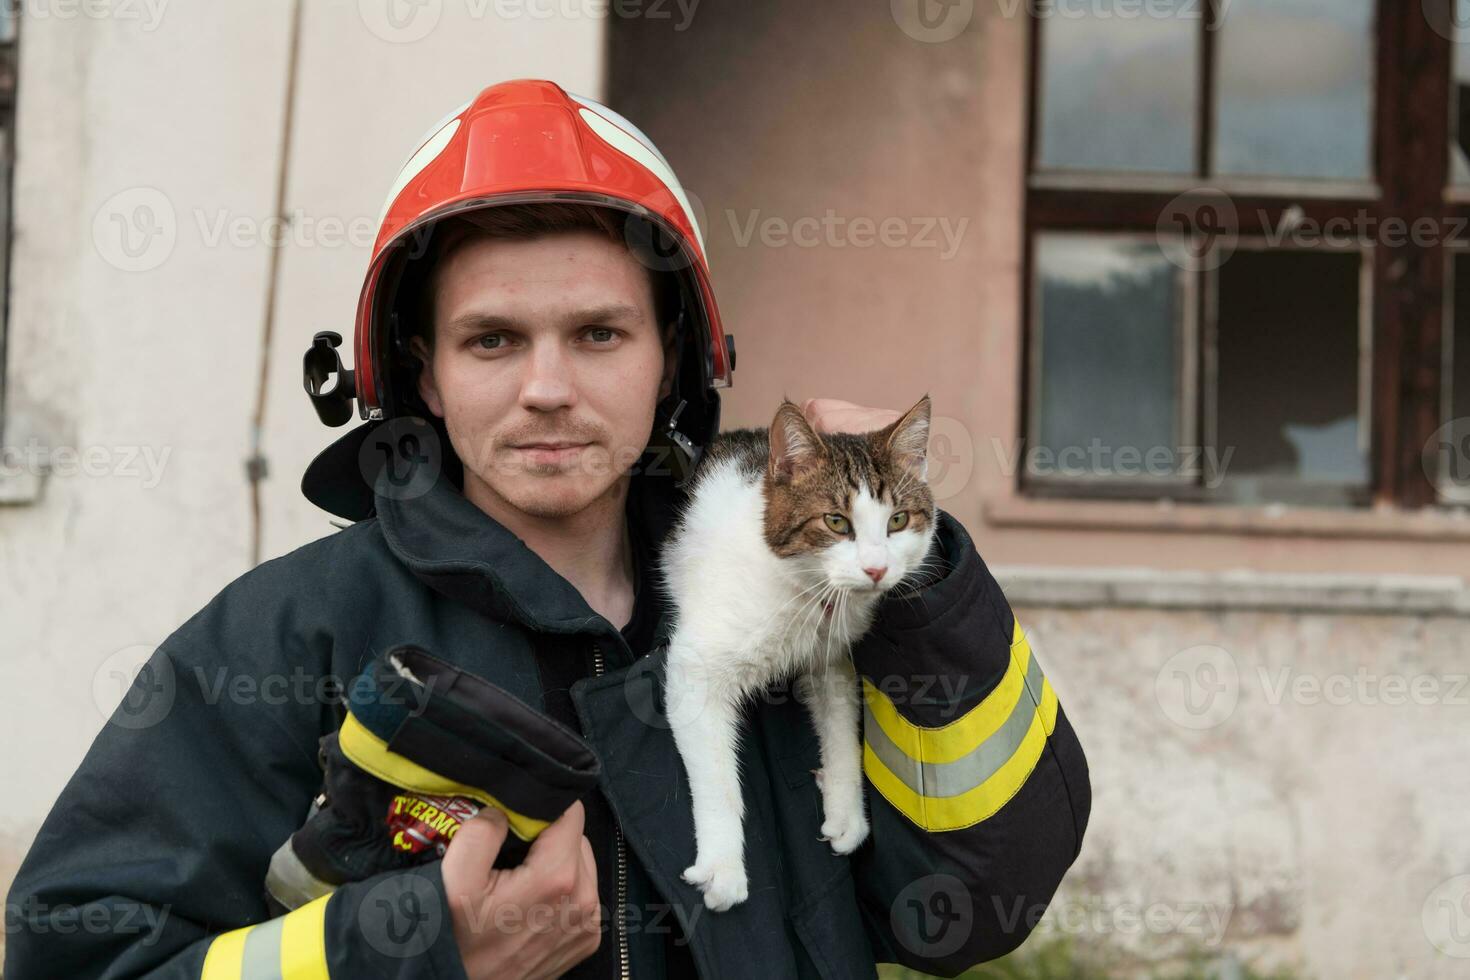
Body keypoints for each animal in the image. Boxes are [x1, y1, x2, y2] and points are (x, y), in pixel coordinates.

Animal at [658, 393, 934, 910]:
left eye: (899, 520)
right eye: (836, 522)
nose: (876, 569)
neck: (803, 591)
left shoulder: (833, 656)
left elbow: (842, 726)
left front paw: (847, 812)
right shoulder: (693, 670)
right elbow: (718, 778)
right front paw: (723, 865)